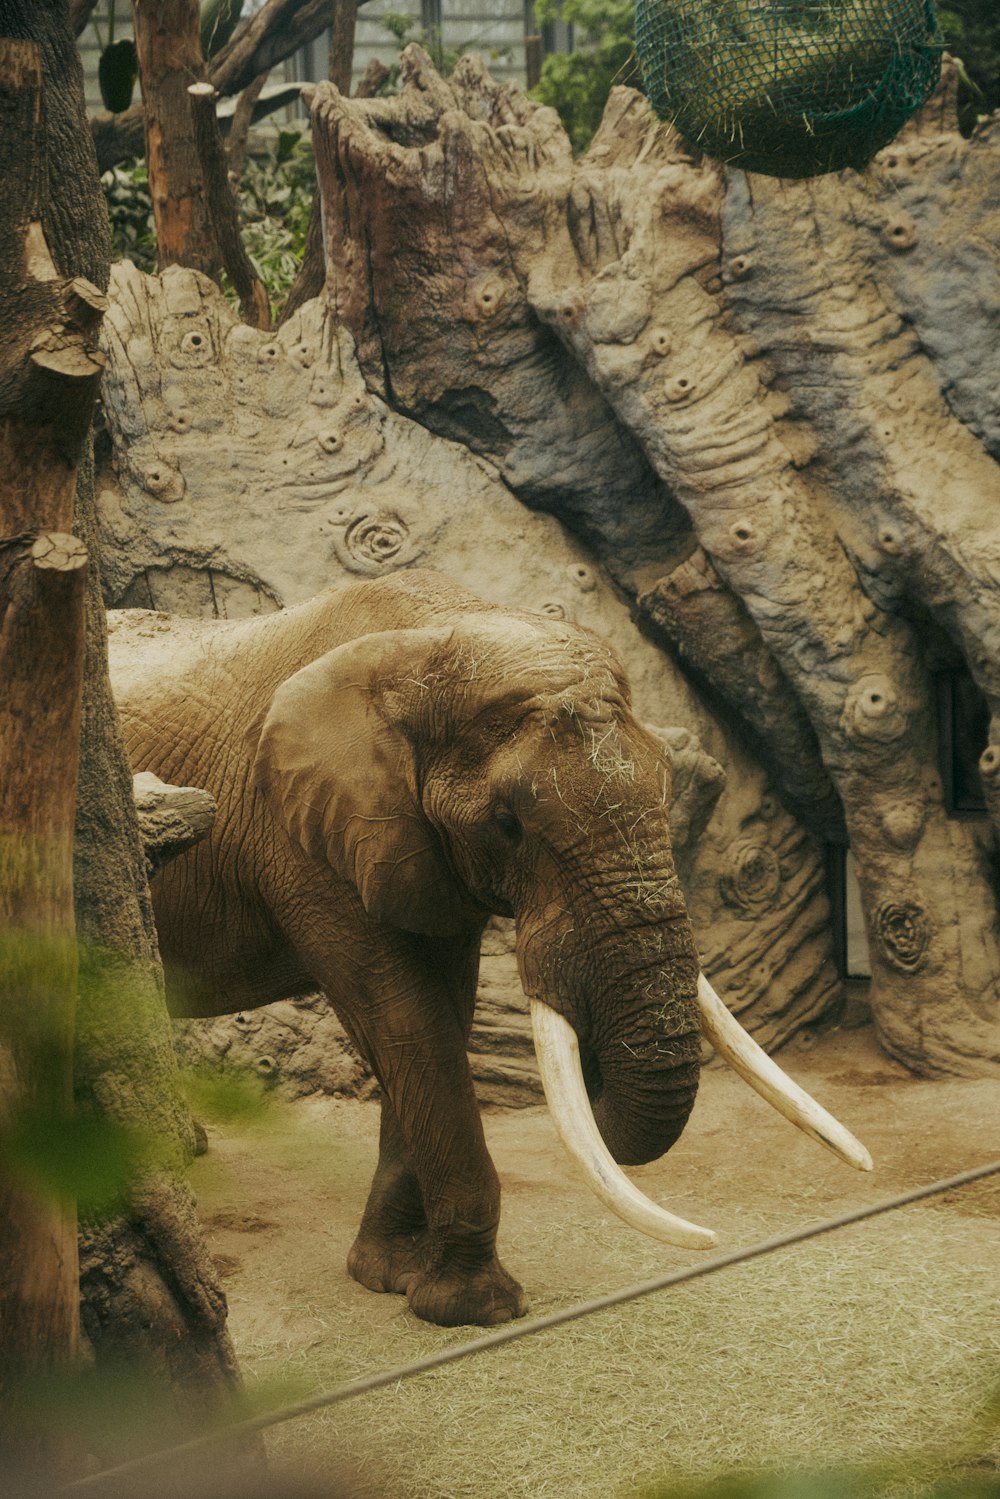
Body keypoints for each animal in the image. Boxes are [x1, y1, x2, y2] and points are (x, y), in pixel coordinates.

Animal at [109, 569, 869, 1325]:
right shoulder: (306, 836)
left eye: (668, 786)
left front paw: (389, 1277)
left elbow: (443, 1012)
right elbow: (404, 1020)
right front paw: (473, 1309)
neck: (436, 635)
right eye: (508, 824)